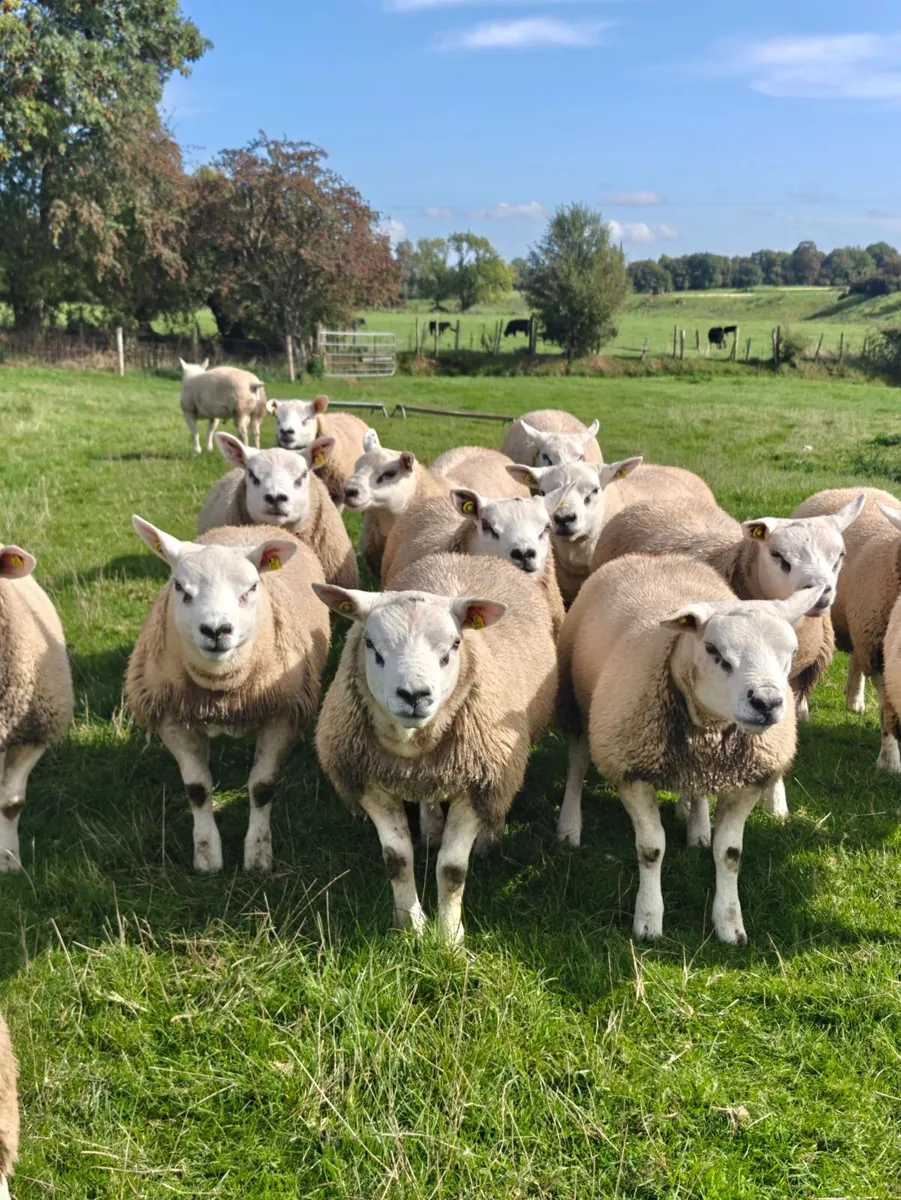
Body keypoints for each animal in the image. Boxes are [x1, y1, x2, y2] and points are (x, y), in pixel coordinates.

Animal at [125, 517, 330, 873]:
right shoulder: (172, 718)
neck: (221, 690)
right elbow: (197, 789)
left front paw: (258, 856)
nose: (216, 631)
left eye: (251, 589)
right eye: (180, 587)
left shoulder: (281, 715)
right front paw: (207, 855)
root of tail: (247, 525)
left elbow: (262, 788)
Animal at [314, 551, 558, 944]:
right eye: (370, 643)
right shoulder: (368, 781)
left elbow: (452, 870)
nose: (415, 695)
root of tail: (467, 557)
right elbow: (396, 860)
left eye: (455, 645)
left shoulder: (478, 782)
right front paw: (410, 926)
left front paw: (449, 937)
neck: (413, 744)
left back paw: (491, 835)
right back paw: (430, 829)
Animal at [556, 552, 821, 943]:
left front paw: (729, 924)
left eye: (790, 652)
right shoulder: (631, 771)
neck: (708, 724)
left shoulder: (748, 781)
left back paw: (698, 828)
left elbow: (730, 853)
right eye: (714, 651)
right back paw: (569, 827)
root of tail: (654, 556)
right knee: (576, 765)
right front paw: (648, 920)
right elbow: (651, 849)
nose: (767, 702)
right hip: (576, 705)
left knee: (696, 789)